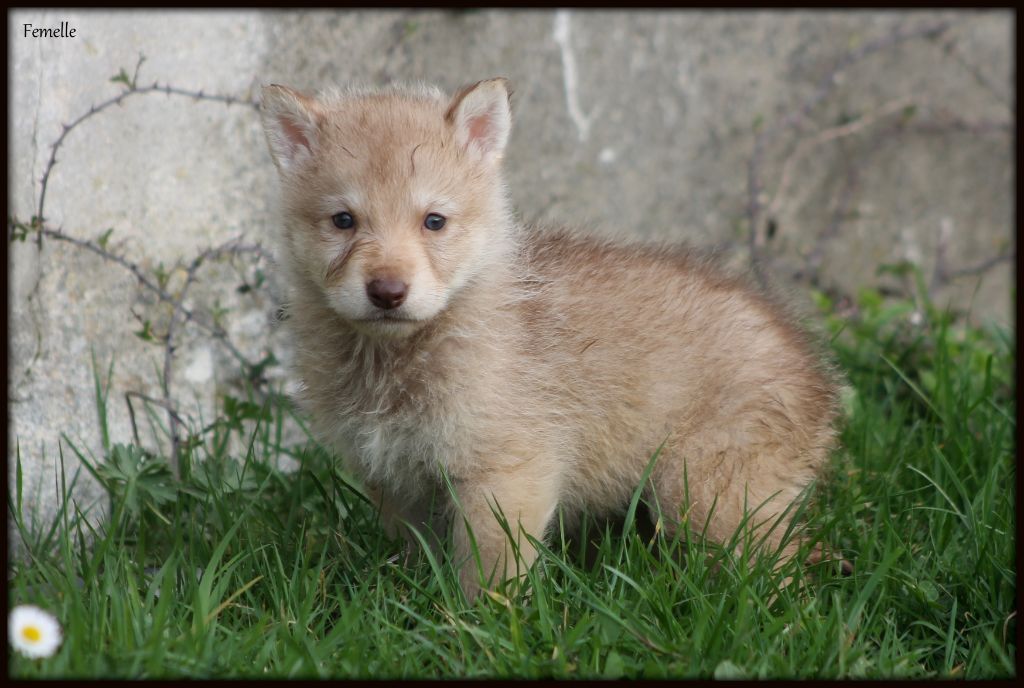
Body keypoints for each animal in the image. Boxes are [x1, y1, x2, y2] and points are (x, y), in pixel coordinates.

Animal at [259, 78, 841, 599]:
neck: (398, 358)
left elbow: (489, 576)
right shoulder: (397, 478)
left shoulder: (508, 474)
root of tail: (815, 368)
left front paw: (479, 627)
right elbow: (420, 554)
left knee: (782, 568)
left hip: (709, 497)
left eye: (434, 221)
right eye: (343, 220)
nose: (387, 291)